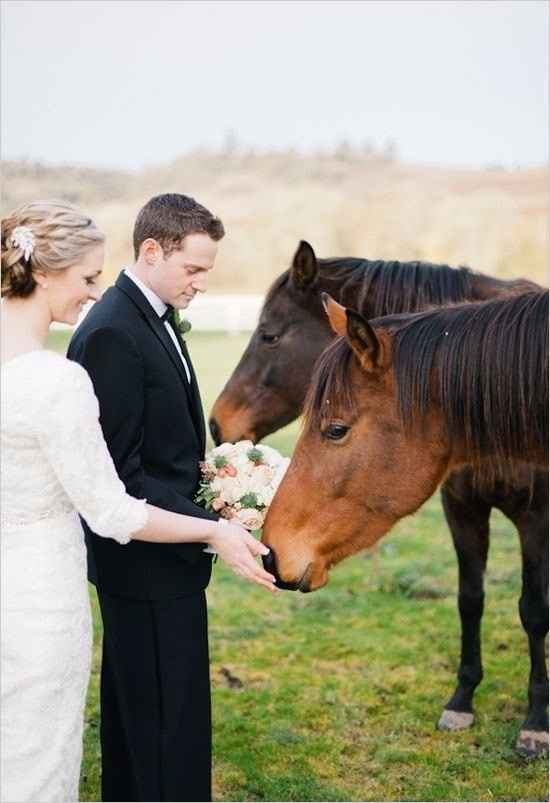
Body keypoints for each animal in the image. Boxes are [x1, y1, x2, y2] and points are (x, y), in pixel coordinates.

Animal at [210, 241, 547, 753]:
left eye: (269, 335)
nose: (217, 423)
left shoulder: (535, 518)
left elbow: (533, 610)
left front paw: (536, 720)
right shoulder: (461, 507)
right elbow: (470, 599)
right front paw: (462, 699)